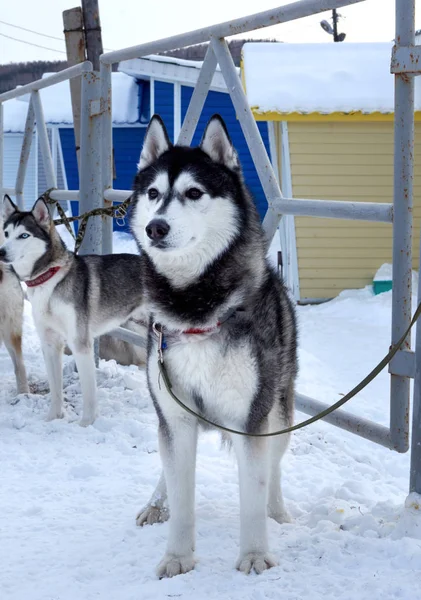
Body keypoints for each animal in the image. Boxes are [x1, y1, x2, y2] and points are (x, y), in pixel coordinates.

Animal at [0, 195, 144, 424]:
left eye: (23, 235)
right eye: (6, 233)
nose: (1, 252)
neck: (50, 279)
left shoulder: (80, 344)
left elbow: (89, 393)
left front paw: (86, 424)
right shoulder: (50, 343)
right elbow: (55, 390)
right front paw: (52, 418)